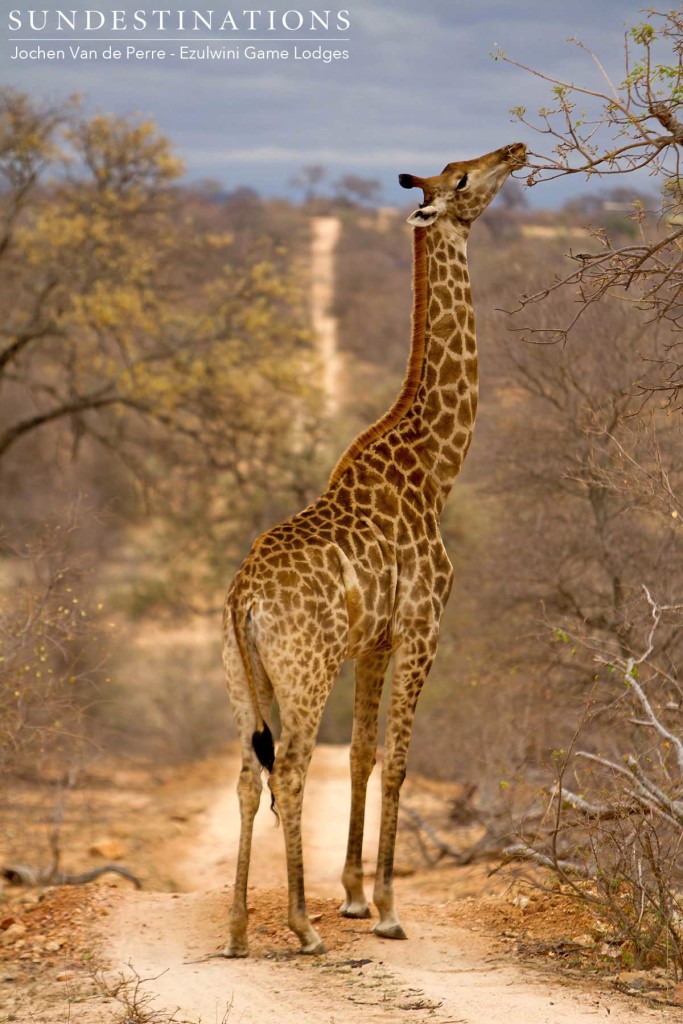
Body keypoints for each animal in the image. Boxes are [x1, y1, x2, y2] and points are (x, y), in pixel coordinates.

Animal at [222, 140, 528, 954]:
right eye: (463, 179)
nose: (515, 150)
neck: (436, 470)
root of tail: (243, 600)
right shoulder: (422, 628)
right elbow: (395, 762)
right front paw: (387, 909)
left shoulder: (375, 643)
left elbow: (360, 754)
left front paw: (355, 896)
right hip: (304, 669)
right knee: (290, 768)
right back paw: (300, 928)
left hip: (240, 677)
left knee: (246, 772)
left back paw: (237, 930)